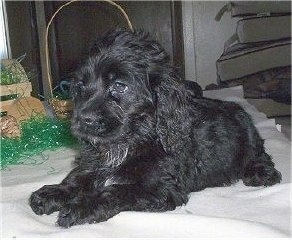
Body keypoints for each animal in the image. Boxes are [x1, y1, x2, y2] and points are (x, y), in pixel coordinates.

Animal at [29, 29, 280, 227]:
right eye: (80, 86)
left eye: (119, 86)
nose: (83, 119)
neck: (131, 141)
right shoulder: (95, 163)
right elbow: (78, 178)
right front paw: (53, 193)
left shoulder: (161, 189)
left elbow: (117, 190)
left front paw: (80, 207)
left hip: (250, 137)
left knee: (260, 154)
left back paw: (262, 173)